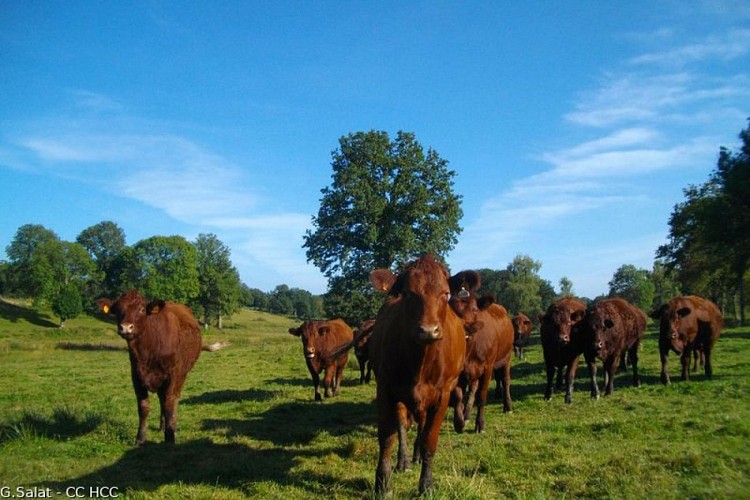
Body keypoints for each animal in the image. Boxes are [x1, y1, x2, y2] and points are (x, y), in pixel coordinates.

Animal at [95, 290, 223, 446]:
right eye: (118, 310)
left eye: (142, 310)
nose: (125, 327)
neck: (147, 353)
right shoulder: (136, 377)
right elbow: (143, 407)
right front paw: (140, 439)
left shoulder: (172, 376)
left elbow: (169, 404)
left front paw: (170, 437)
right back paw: (163, 425)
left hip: (182, 375)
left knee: (174, 399)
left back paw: (172, 425)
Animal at [368, 256, 468, 498]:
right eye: (408, 293)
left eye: (445, 294)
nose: (428, 330)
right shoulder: (386, 388)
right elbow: (387, 437)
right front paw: (383, 484)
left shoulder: (442, 395)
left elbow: (429, 440)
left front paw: (426, 485)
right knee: (403, 425)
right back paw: (404, 460)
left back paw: (417, 456)